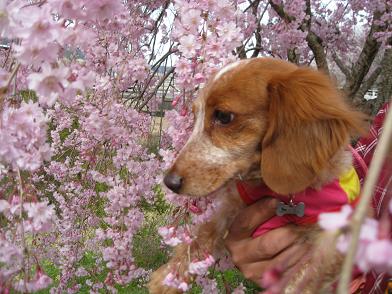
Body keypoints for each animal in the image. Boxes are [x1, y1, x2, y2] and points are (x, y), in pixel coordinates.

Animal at [149, 58, 366, 294]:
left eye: (223, 116)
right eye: (195, 115)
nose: (169, 182)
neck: (284, 197)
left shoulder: (333, 241)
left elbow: (302, 279)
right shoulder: (233, 202)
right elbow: (205, 232)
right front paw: (167, 279)